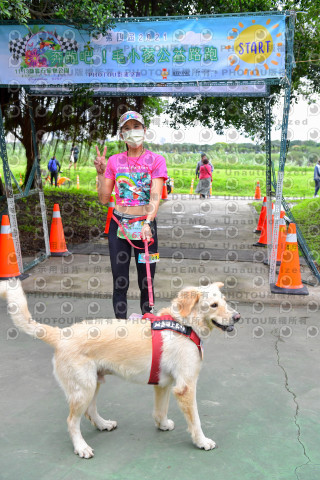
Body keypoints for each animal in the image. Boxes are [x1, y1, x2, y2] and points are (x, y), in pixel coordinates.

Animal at [0, 278, 240, 458]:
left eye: (225, 301)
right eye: (213, 305)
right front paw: (202, 441)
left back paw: (103, 424)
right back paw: (81, 447)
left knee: (90, 411)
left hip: (93, 384)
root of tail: (61, 334)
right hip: (84, 389)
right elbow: (196, 421)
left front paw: (162, 424)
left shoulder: (163, 385)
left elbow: (160, 410)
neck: (185, 324)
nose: (238, 317)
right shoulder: (186, 387)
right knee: (72, 421)